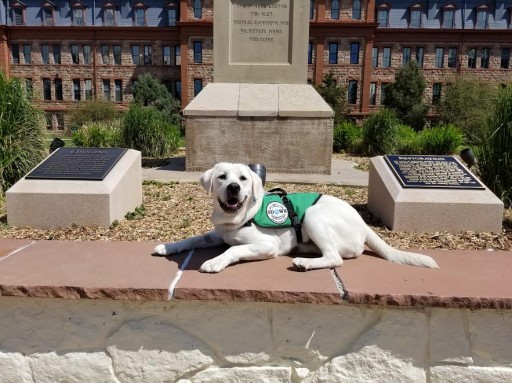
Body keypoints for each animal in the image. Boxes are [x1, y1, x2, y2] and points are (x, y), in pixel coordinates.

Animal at [154, 162, 438, 272]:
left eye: (243, 178)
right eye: (222, 177)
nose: (233, 187)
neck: (238, 218)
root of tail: (363, 223)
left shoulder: (266, 245)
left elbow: (233, 250)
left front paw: (215, 262)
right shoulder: (217, 233)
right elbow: (194, 238)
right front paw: (168, 246)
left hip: (313, 214)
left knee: (336, 257)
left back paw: (304, 262)